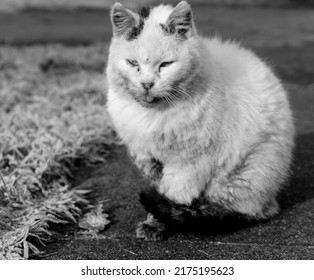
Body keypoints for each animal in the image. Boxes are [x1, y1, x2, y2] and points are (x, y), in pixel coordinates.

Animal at [105, 0, 294, 241]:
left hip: (246, 172)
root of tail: (272, 201)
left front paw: (157, 224)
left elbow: (173, 194)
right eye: (132, 63)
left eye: (165, 65)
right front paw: (153, 221)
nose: (147, 84)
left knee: (240, 210)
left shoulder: (189, 163)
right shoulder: (146, 157)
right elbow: (159, 189)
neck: (154, 115)